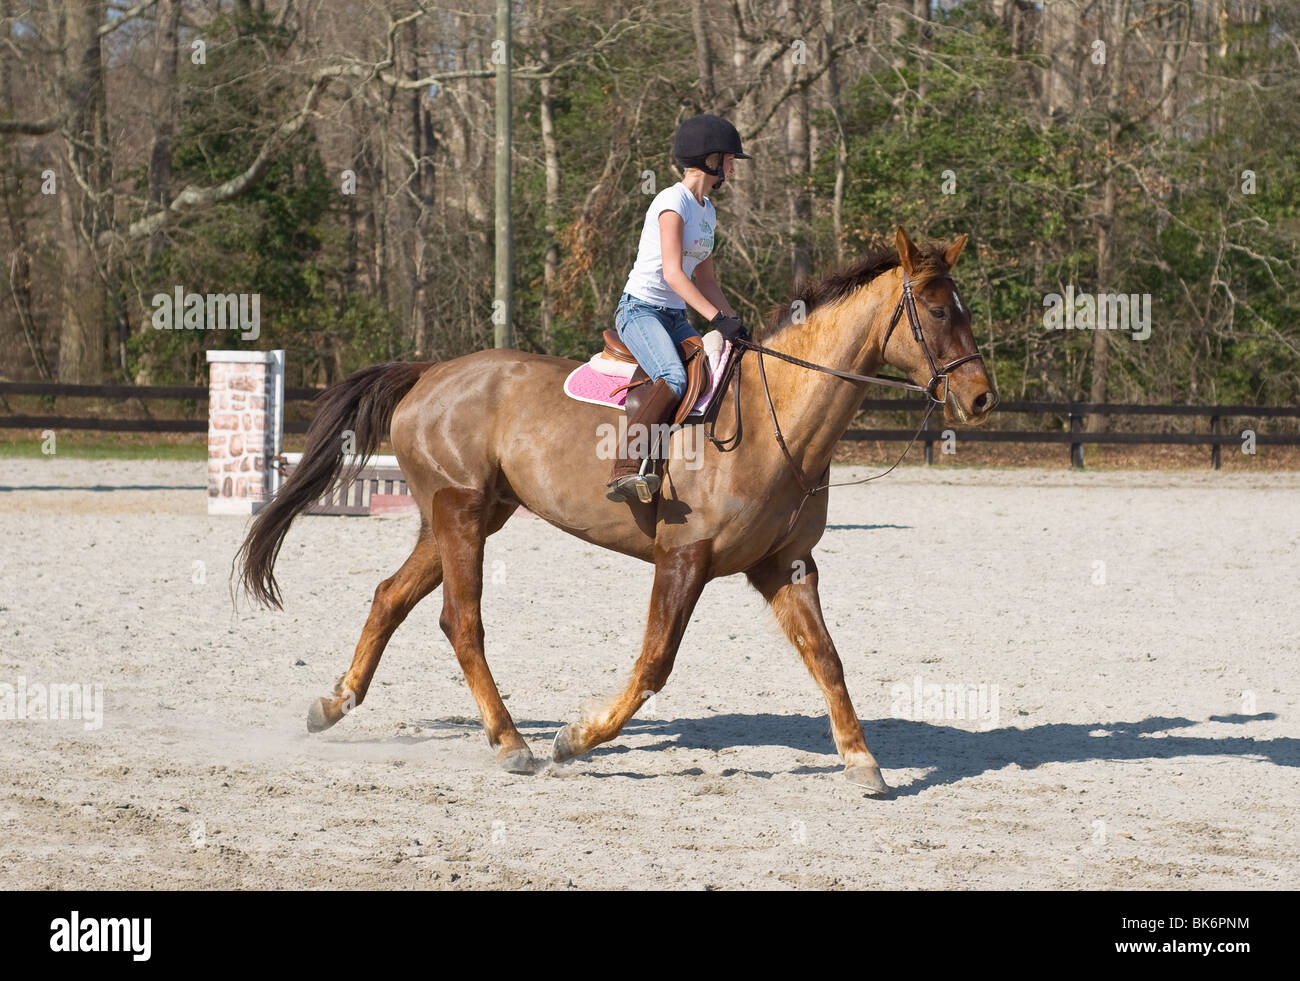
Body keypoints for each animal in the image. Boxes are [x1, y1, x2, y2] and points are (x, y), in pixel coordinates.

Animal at [239, 226, 993, 795]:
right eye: (934, 310)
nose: (981, 397)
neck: (778, 416)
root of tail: (430, 373)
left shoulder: (786, 564)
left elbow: (827, 658)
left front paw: (862, 760)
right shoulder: (683, 558)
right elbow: (655, 662)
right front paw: (575, 739)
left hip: (467, 515)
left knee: (390, 596)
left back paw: (332, 705)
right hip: (460, 513)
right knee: (461, 621)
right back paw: (512, 742)